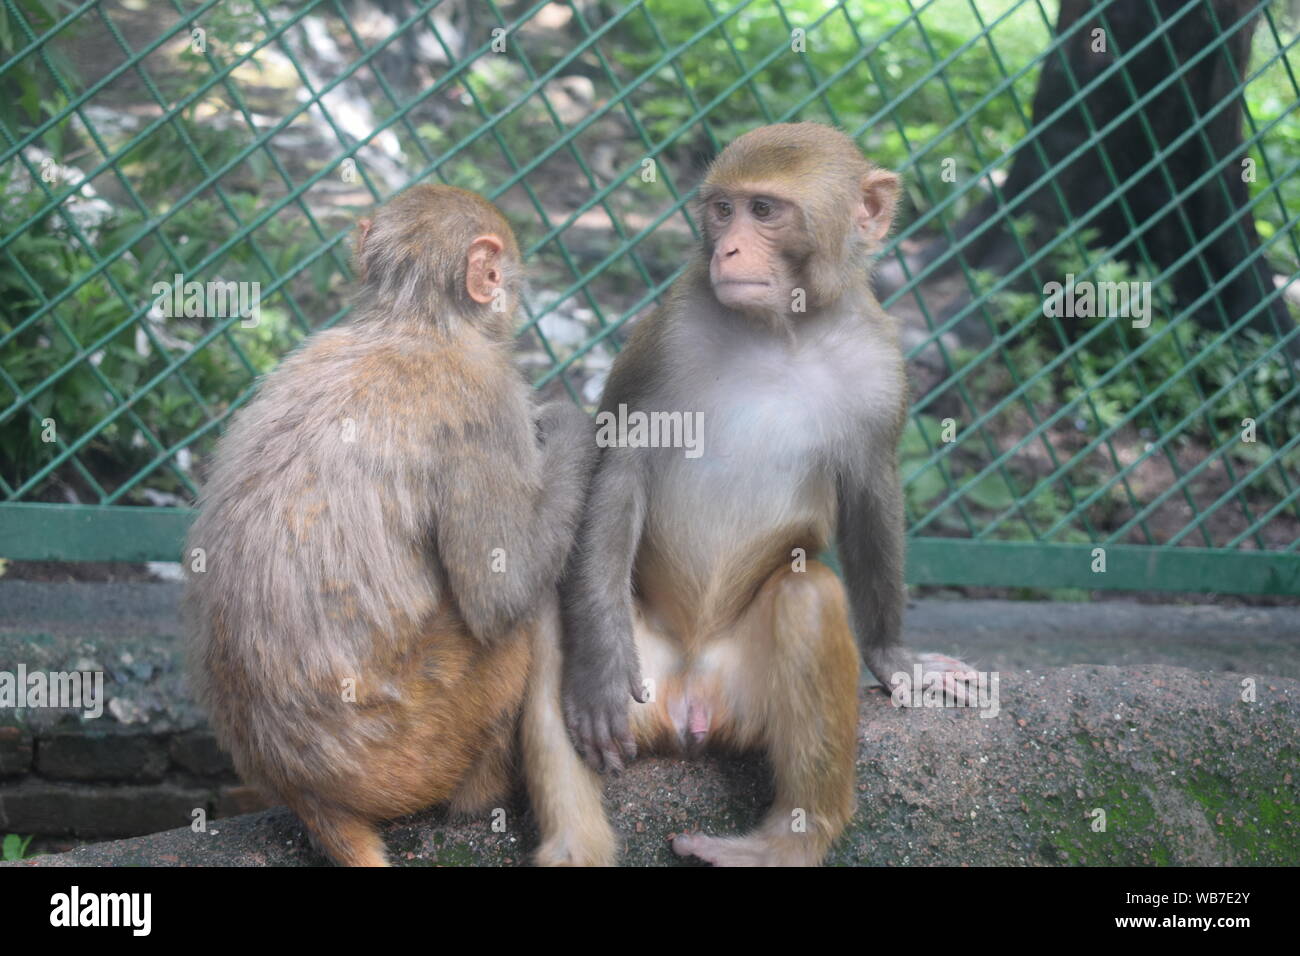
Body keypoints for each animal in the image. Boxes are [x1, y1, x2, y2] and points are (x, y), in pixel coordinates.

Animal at [182, 184, 595, 868]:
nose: (510, 298)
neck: (414, 321)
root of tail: (302, 792)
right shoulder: (488, 401)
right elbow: (497, 597)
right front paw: (572, 427)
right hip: (417, 742)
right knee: (509, 631)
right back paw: (479, 799)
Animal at [520, 121, 977, 868]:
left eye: (765, 210)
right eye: (722, 210)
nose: (728, 249)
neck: (783, 331)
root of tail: (690, 698)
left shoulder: (881, 363)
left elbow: (871, 496)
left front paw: (895, 659)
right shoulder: (670, 331)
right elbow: (622, 465)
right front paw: (598, 670)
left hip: (746, 701)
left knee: (808, 592)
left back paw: (789, 839)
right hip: (648, 686)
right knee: (548, 620)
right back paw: (575, 845)